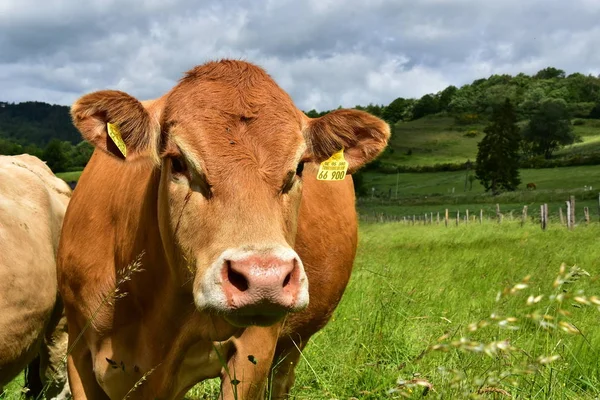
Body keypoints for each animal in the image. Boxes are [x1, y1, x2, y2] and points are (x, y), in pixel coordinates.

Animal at [57, 57, 390, 398]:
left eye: (299, 168)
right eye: (178, 162)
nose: (265, 278)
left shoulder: (255, 348)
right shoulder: (77, 351)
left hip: (292, 345)